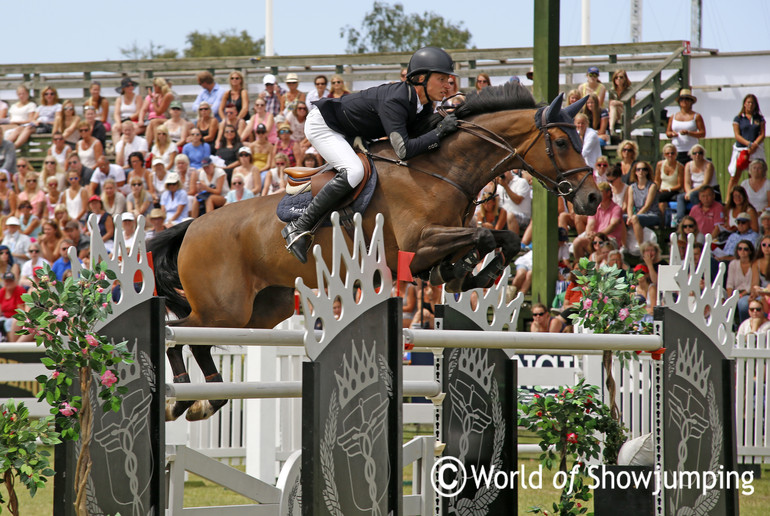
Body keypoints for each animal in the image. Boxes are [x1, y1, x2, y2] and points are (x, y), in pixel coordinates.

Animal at [148, 81, 592, 420]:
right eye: (559, 141)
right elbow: (482, 237)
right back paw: (181, 399)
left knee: (198, 340)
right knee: (179, 333)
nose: (590, 198)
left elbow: (502, 240)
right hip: (224, 308)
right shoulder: (419, 243)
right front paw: (467, 271)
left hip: (261, 311)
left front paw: (469, 273)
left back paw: (205, 400)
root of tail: (193, 225)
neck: (442, 170)